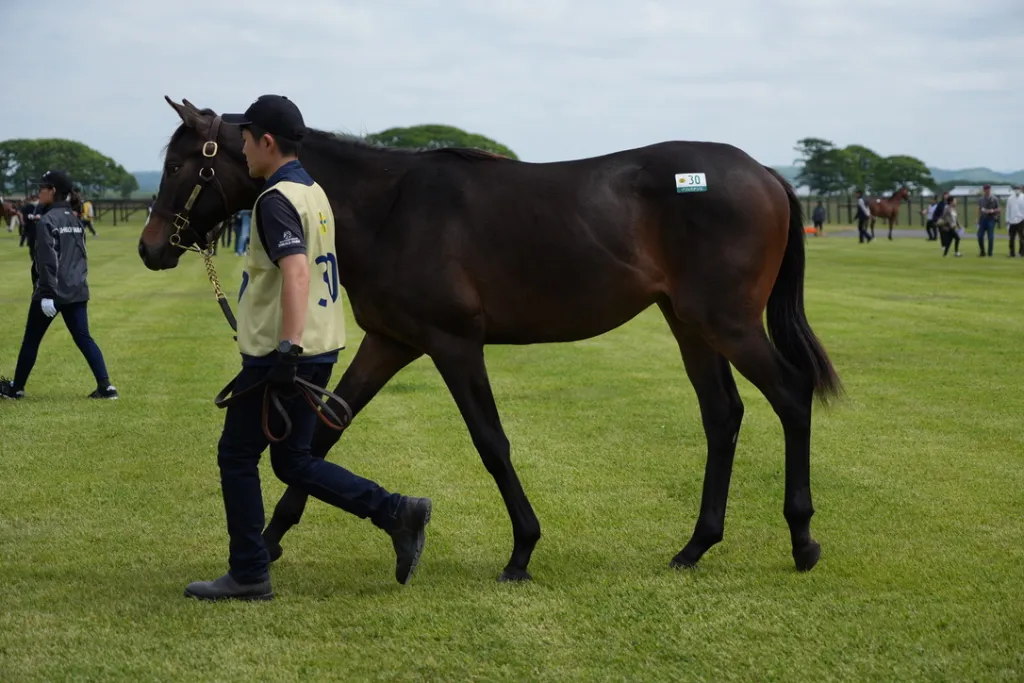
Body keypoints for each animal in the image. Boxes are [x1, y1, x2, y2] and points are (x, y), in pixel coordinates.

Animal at [138, 97, 842, 581]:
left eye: (178, 165)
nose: (150, 248)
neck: (389, 206)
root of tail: (765, 173)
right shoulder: (391, 341)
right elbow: (324, 434)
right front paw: (273, 537)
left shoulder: (452, 343)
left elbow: (491, 442)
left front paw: (522, 549)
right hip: (689, 322)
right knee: (722, 415)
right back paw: (696, 545)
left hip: (727, 322)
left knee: (791, 394)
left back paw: (803, 539)